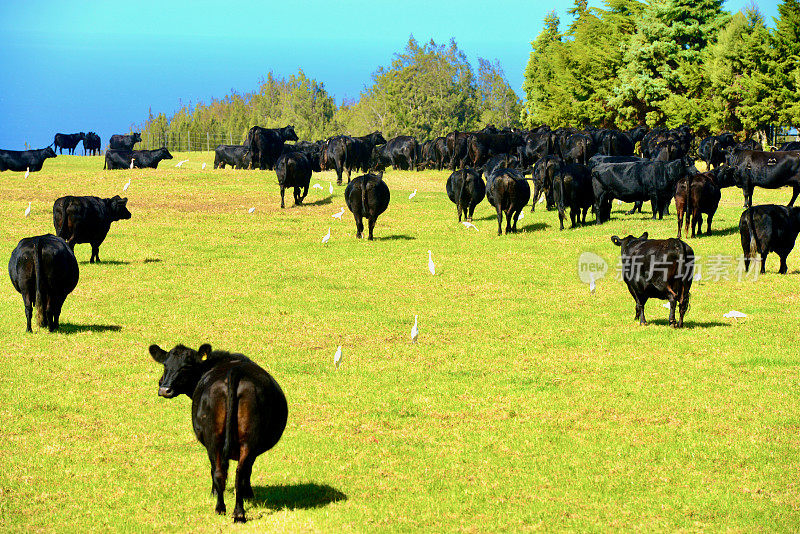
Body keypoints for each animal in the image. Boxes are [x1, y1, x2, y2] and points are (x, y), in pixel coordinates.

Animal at [150, 344, 288, 524]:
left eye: (186, 366)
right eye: (165, 365)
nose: (164, 389)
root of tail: (235, 372)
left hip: (216, 439)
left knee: (223, 471)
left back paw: (224, 508)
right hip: (242, 440)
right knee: (235, 473)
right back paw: (235, 512)